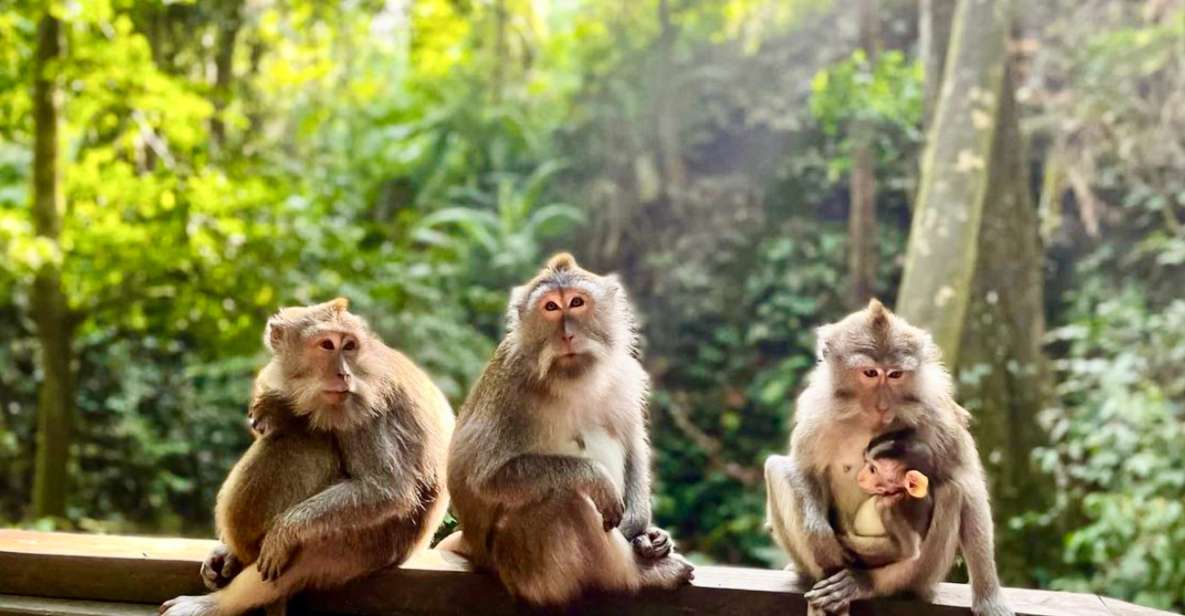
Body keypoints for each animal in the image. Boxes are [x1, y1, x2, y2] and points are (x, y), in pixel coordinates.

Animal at [161, 298, 455, 616]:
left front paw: (285, 531)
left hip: (365, 544)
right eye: (327, 344)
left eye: (349, 346)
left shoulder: (368, 402)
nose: (344, 374)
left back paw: (216, 603)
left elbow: (388, 487)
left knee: (306, 443)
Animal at [442, 253, 694, 608]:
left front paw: (643, 531)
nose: (567, 335)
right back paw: (639, 575)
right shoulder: (509, 388)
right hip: (523, 566)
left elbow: (632, 445)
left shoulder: (624, 375)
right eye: (550, 307)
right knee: (567, 499)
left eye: (576, 302)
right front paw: (596, 478)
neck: (571, 378)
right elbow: (484, 478)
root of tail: (474, 548)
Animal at [764, 299, 1013, 616]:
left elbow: (968, 487)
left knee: (952, 491)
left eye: (895, 374)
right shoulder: (817, 410)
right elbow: (803, 469)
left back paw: (864, 582)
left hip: (920, 574)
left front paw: (990, 600)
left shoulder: (935, 410)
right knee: (776, 468)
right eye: (871, 373)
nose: (883, 405)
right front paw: (819, 535)